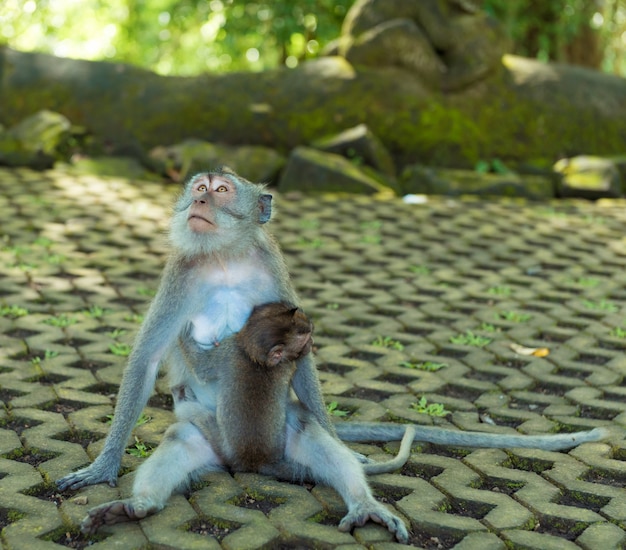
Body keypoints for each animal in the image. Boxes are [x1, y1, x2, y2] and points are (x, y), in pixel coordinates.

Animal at [57, 167, 604, 544]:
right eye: (198, 187)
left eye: (221, 190)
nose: (198, 197)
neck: (226, 257)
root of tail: (245, 462)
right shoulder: (181, 272)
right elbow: (148, 357)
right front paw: (104, 467)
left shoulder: (273, 271)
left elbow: (305, 367)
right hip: (204, 437)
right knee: (178, 443)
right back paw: (136, 506)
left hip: (288, 430)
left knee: (315, 436)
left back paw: (364, 503)